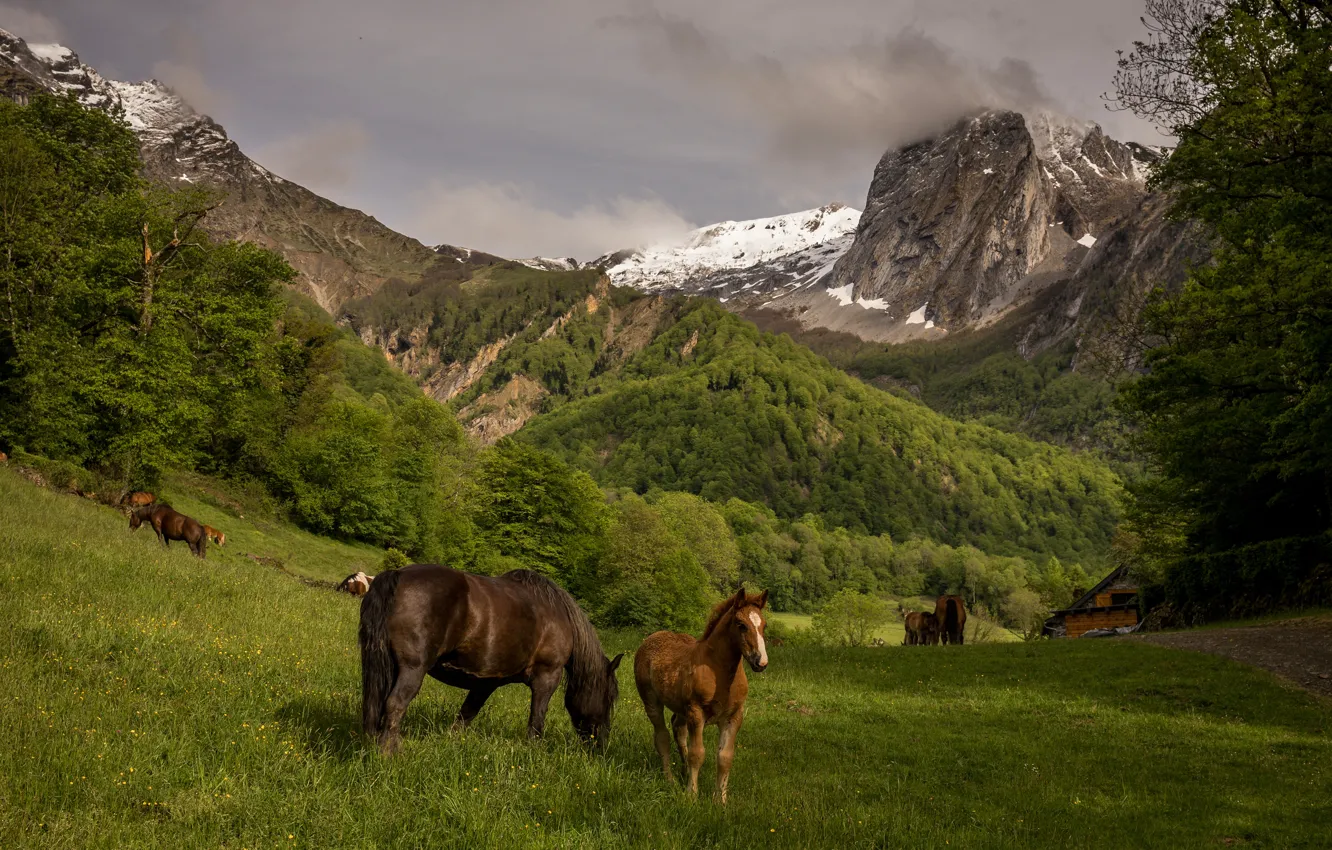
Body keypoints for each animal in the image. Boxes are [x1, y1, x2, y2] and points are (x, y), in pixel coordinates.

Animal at [359, 564, 623, 755]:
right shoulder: (547, 677)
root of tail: (399, 574)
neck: (559, 616)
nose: (601, 744)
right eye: (609, 698)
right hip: (412, 669)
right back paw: (390, 753)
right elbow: (537, 719)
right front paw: (533, 751)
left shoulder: (486, 682)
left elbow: (466, 715)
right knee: (395, 704)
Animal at [634, 586, 769, 803]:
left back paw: (682, 773)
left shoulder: (733, 717)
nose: (761, 662)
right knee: (662, 737)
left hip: (681, 709)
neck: (720, 672)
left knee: (678, 730)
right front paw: (691, 795)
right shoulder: (696, 713)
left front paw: (720, 800)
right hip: (652, 701)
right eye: (741, 625)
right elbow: (697, 754)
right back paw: (670, 780)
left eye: (764, 625)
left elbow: (724, 757)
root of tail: (651, 638)